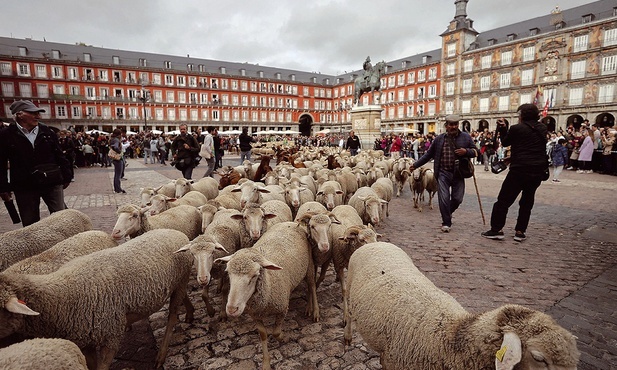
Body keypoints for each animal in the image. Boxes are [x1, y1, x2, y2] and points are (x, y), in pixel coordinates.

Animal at [0, 230, 195, 368]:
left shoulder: (111, 336)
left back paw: (161, 355)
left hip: (181, 280)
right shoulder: (85, 339)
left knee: (172, 316)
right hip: (178, 282)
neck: (63, 296)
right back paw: (190, 314)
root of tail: (176, 232)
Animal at [215, 221, 318, 368]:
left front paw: (284, 337)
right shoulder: (255, 315)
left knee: (312, 286)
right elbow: (263, 335)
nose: (231, 309)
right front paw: (266, 363)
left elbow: (275, 332)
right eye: (228, 272)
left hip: (309, 264)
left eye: (254, 275)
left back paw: (315, 311)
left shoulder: (282, 308)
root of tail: (290, 222)